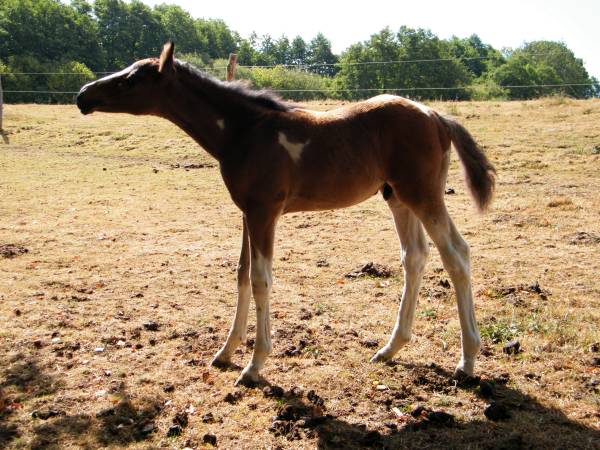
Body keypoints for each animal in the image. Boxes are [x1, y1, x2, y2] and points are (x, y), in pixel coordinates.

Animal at [77, 43, 494, 386]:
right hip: (397, 197)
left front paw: (254, 365)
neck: (244, 132)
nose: (83, 96)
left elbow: (261, 279)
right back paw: (390, 348)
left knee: (457, 255)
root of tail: (436, 115)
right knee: (415, 257)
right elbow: (242, 275)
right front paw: (226, 351)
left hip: (423, 195)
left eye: (132, 79)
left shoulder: (264, 211)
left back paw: (467, 362)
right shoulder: (247, 212)